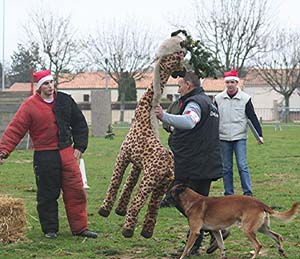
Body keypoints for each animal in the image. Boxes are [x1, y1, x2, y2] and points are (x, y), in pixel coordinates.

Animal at [99, 33, 188, 240]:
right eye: (180, 55)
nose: (184, 71)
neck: (142, 118)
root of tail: (168, 167)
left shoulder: (123, 154)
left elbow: (115, 182)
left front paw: (105, 210)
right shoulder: (137, 164)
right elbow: (128, 184)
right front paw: (118, 210)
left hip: (150, 180)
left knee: (138, 203)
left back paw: (127, 230)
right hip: (161, 185)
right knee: (152, 208)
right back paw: (145, 233)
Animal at [170, 185, 298, 259]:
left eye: (170, 192)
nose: (165, 199)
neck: (192, 201)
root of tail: (260, 203)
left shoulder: (194, 232)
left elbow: (186, 248)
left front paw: (182, 256)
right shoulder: (216, 231)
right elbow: (221, 246)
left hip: (247, 230)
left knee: (258, 245)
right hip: (262, 228)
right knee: (278, 236)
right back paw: (282, 251)